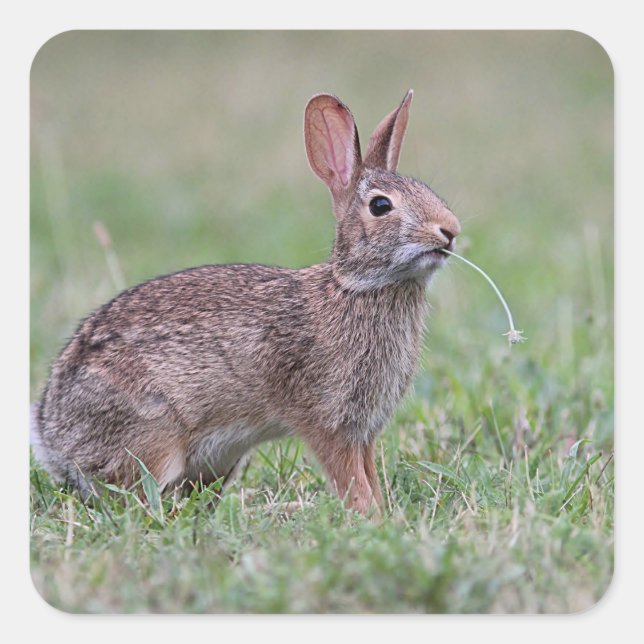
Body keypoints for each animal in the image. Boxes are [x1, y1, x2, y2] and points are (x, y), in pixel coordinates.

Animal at [31, 90, 460, 516]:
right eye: (381, 206)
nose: (451, 230)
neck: (356, 287)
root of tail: (51, 438)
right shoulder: (327, 421)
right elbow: (351, 478)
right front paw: (369, 517)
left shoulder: (363, 431)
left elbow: (368, 474)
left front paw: (385, 514)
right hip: (153, 439)